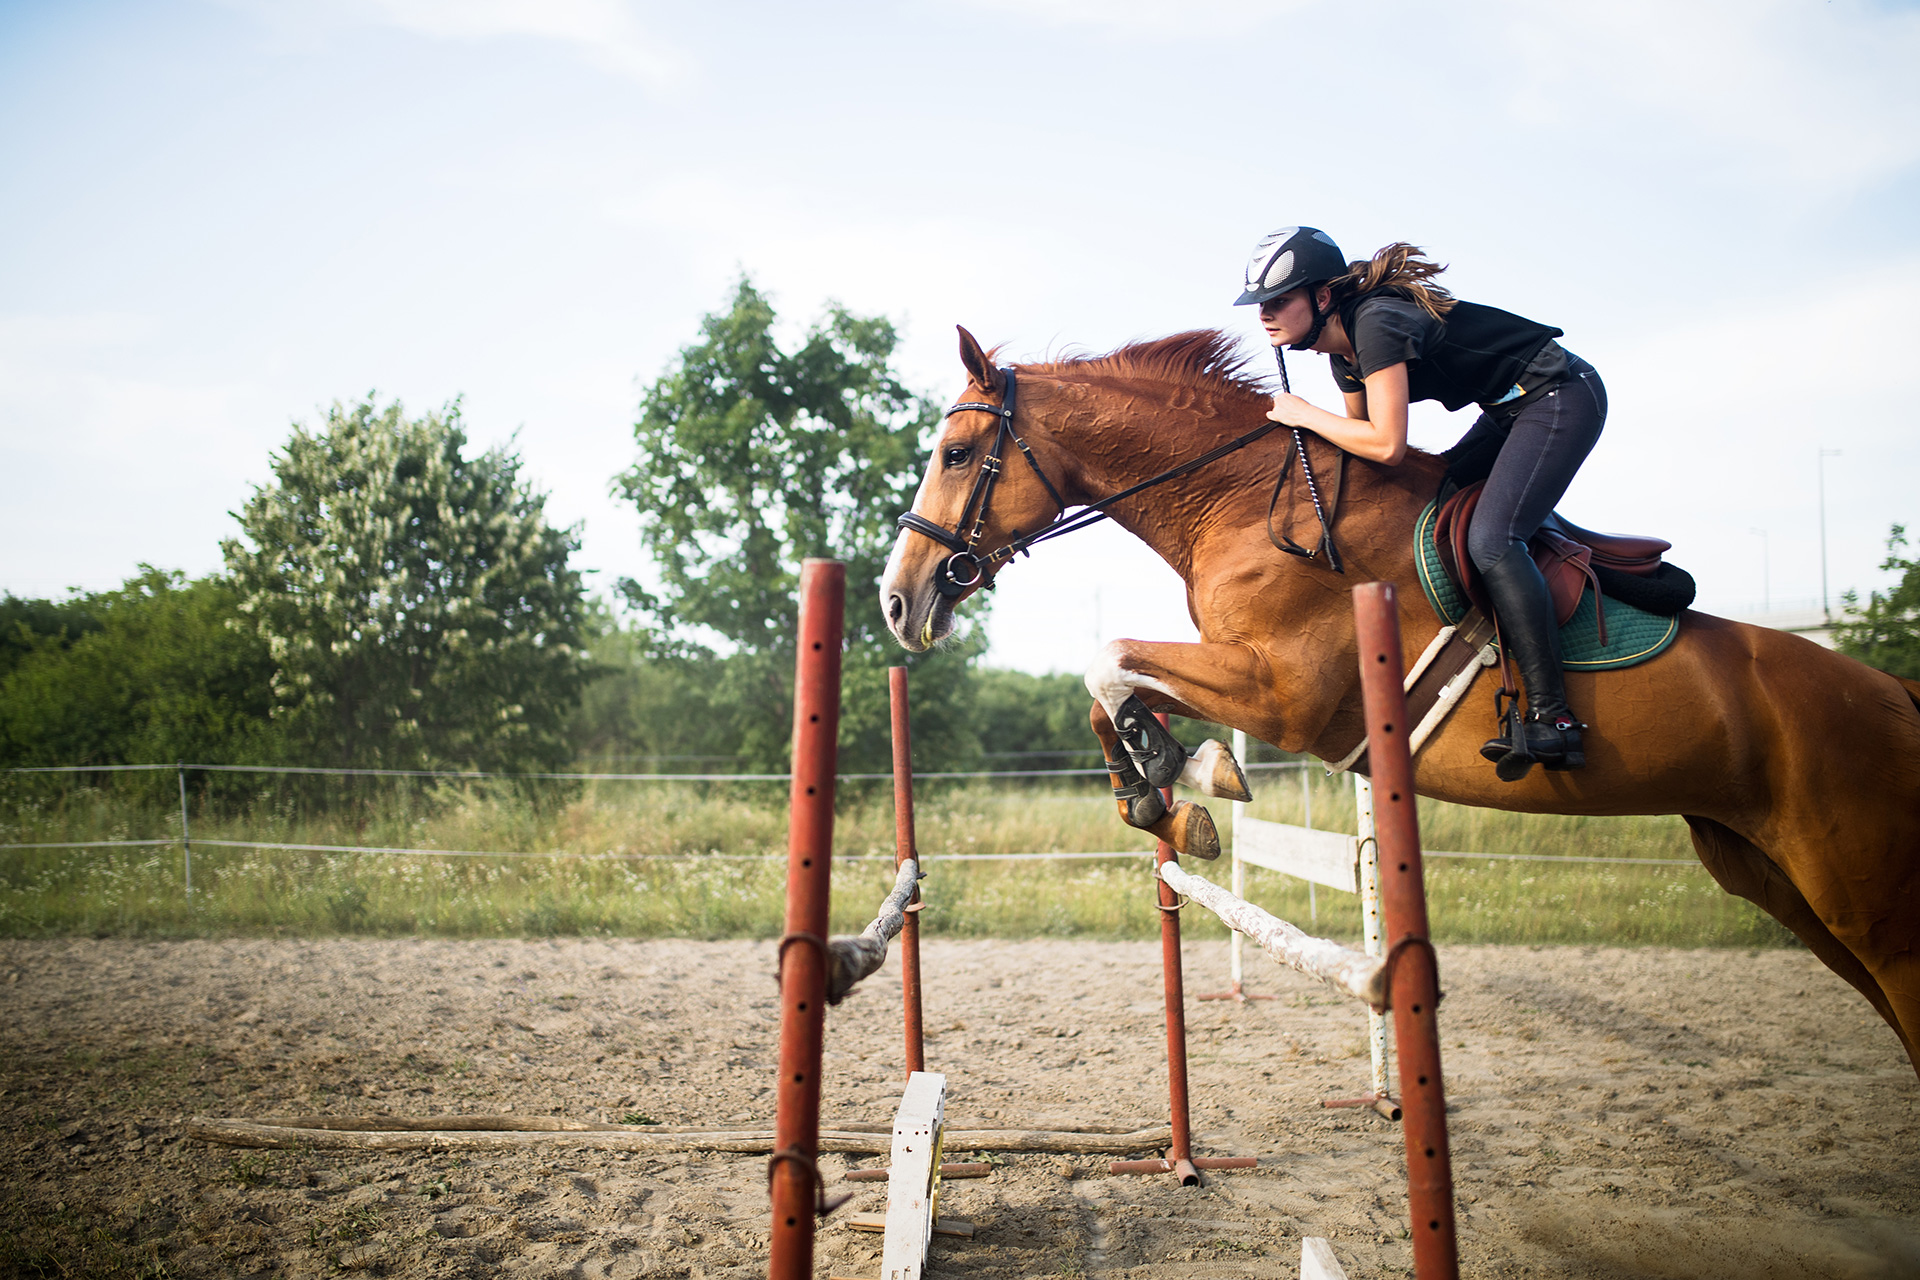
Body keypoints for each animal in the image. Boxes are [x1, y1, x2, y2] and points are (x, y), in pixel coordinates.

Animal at [883, 328, 1920, 1082]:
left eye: (956, 453)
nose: (900, 600)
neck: (1242, 501)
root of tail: (1895, 698)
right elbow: (1108, 683)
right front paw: (1158, 789)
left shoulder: (1286, 696)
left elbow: (1107, 660)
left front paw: (1187, 772)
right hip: (1774, 880)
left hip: (1863, 897)